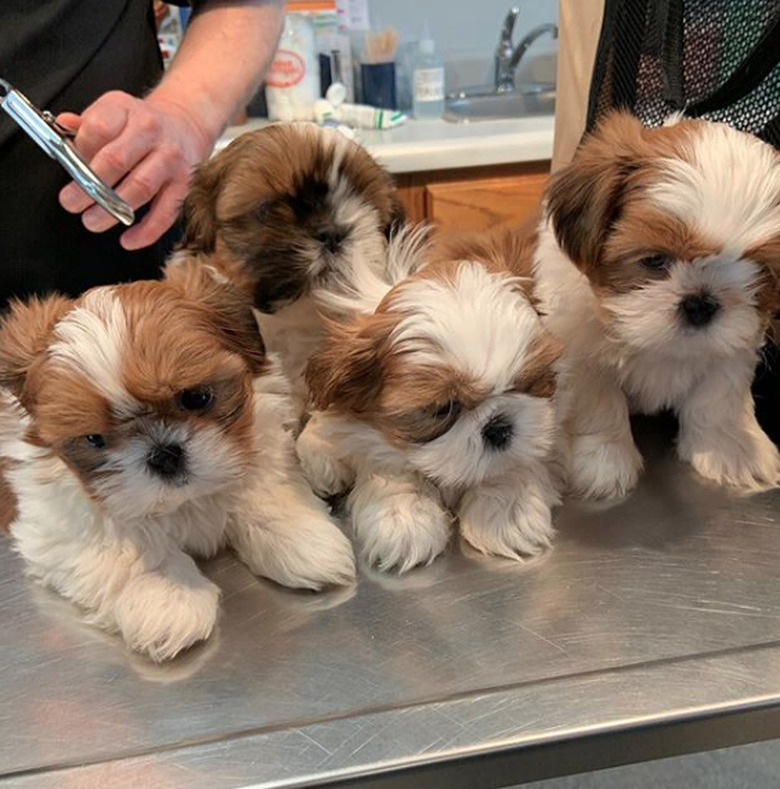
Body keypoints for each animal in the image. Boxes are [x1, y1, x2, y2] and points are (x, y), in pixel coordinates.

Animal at [0, 264, 354, 660]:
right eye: (94, 439)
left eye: (196, 397)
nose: (164, 455)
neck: (186, 500)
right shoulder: (57, 518)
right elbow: (123, 545)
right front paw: (167, 599)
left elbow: (263, 490)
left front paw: (304, 540)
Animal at [296, 228, 564, 572]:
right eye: (442, 409)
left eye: (527, 382)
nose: (499, 427)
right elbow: (387, 460)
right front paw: (405, 518)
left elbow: (518, 460)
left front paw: (507, 514)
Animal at [532, 109, 780, 498]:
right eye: (654, 260)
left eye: (758, 271)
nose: (701, 303)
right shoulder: (582, 350)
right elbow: (598, 402)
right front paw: (604, 463)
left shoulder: (732, 352)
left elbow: (717, 399)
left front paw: (727, 450)